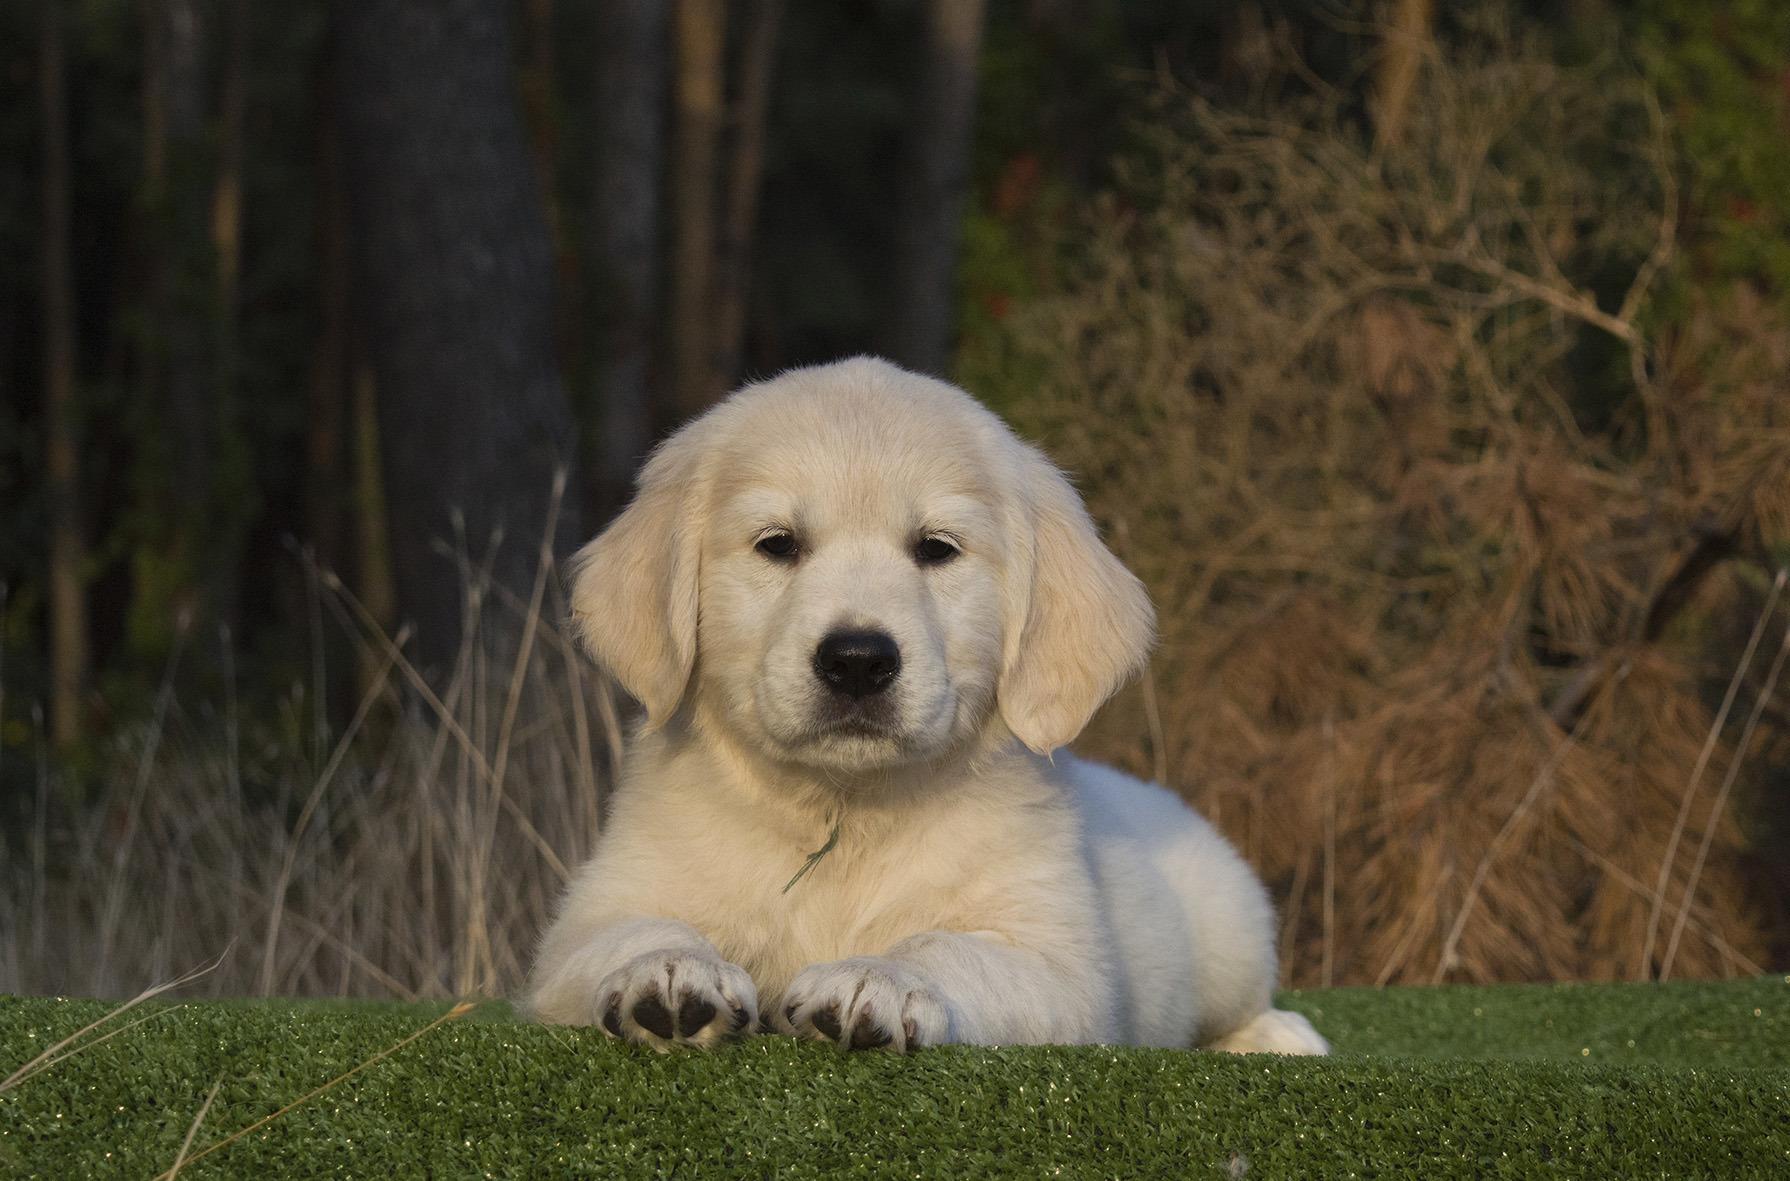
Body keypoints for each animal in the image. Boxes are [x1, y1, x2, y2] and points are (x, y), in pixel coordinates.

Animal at [522, 356, 1331, 1059]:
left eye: (937, 549)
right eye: (777, 544)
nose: (857, 660)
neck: (844, 811)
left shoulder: (1058, 965)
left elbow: (945, 945)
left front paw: (876, 979)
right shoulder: (589, 921)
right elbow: (633, 931)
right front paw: (669, 973)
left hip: (1229, 923)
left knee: (1240, 1006)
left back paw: (1284, 1037)